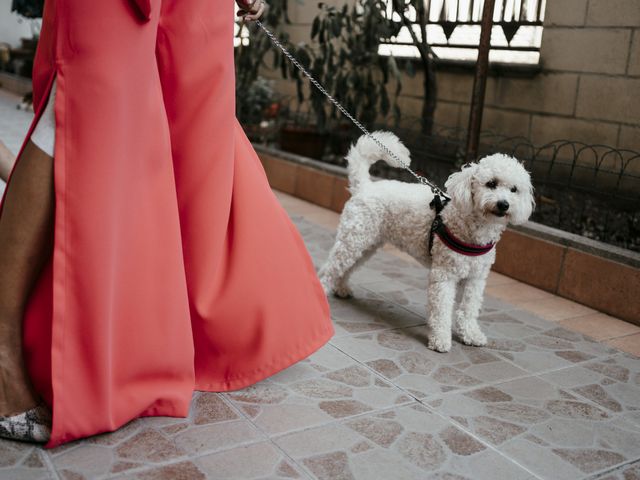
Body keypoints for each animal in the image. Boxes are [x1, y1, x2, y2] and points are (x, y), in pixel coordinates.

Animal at [320, 131, 536, 352]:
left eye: (514, 189)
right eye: (491, 183)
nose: (504, 204)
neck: (473, 227)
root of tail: (365, 186)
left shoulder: (476, 278)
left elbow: (469, 309)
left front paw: (471, 334)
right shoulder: (444, 275)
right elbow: (441, 310)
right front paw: (440, 339)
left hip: (367, 243)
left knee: (348, 267)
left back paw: (341, 288)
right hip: (353, 240)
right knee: (330, 269)